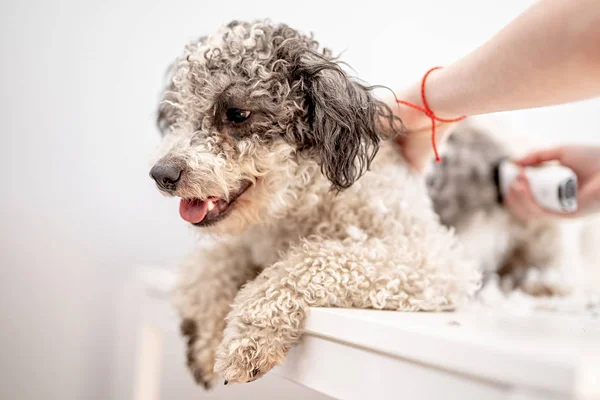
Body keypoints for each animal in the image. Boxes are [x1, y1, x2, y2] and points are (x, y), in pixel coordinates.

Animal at [149, 18, 576, 388]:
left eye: (238, 113)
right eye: (178, 114)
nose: (161, 174)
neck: (306, 206)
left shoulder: (433, 259)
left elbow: (314, 261)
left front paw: (248, 339)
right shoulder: (246, 242)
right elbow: (205, 268)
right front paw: (205, 341)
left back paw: (544, 285)